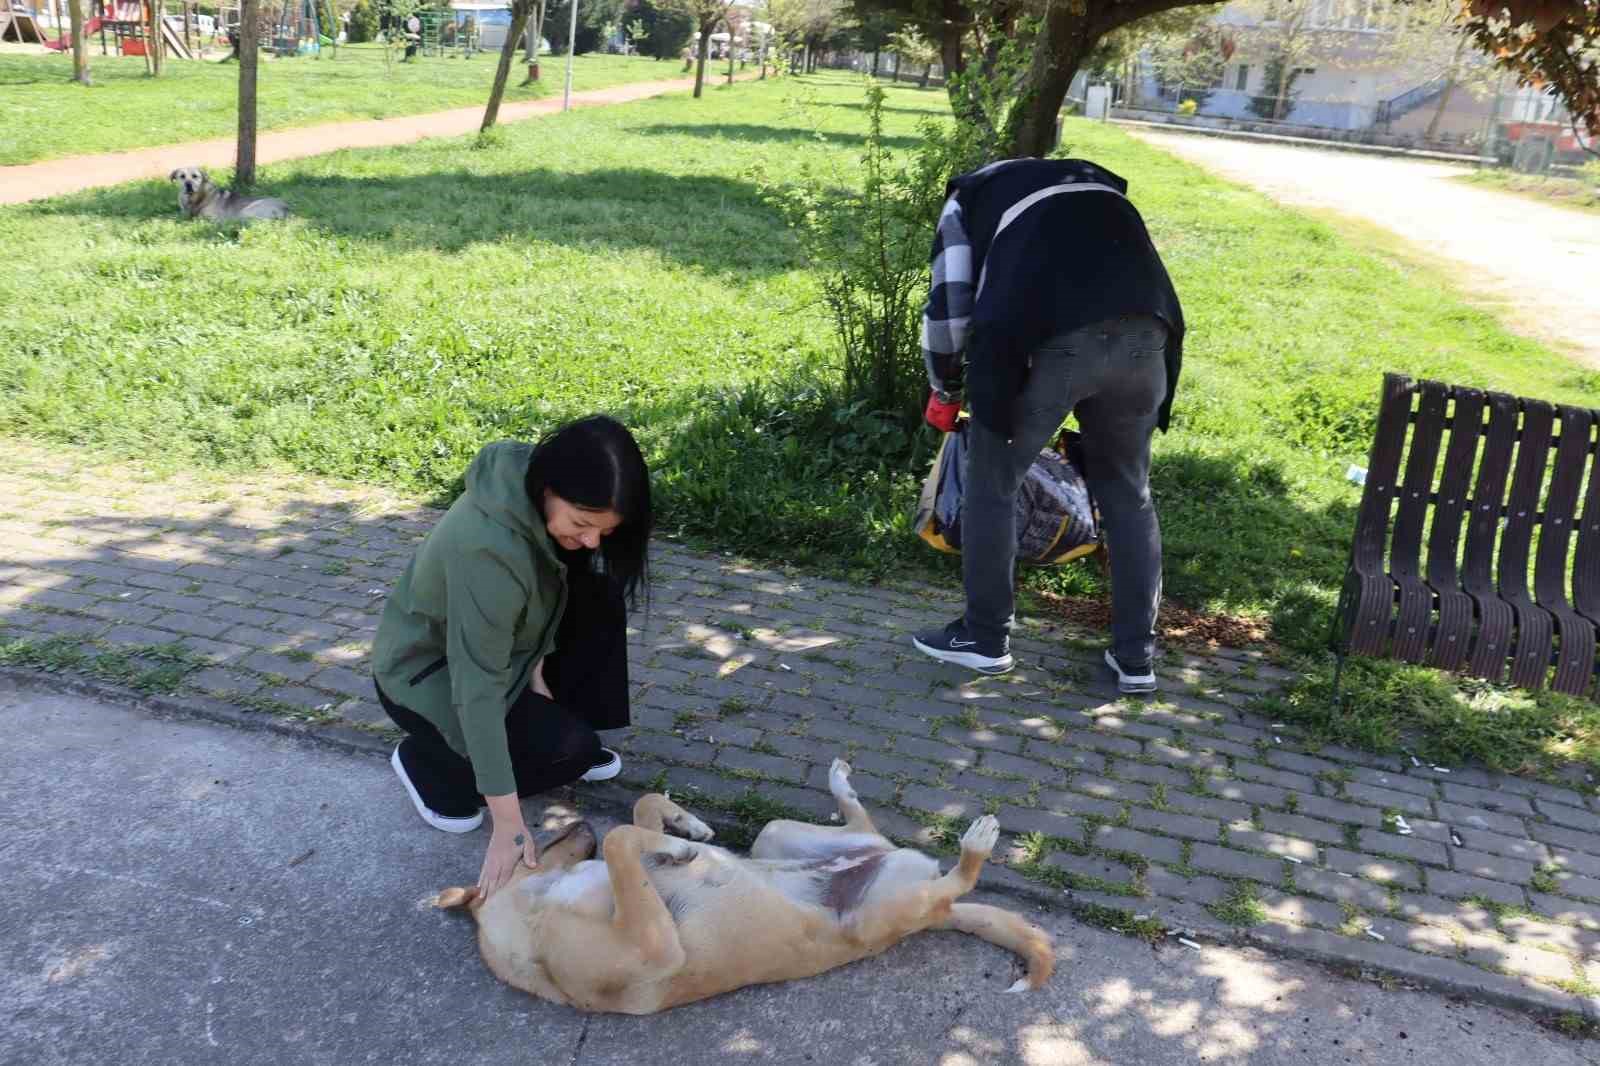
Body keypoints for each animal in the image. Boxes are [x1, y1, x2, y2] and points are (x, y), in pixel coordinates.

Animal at [438, 752, 1056, 1011]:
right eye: (529, 842)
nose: (580, 822)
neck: (537, 914)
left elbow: (638, 813)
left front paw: (685, 826)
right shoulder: (657, 946)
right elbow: (622, 841)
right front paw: (676, 844)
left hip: (775, 837)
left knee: (866, 826)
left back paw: (841, 786)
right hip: (878, 915)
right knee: (957, 881)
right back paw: (975, 845)